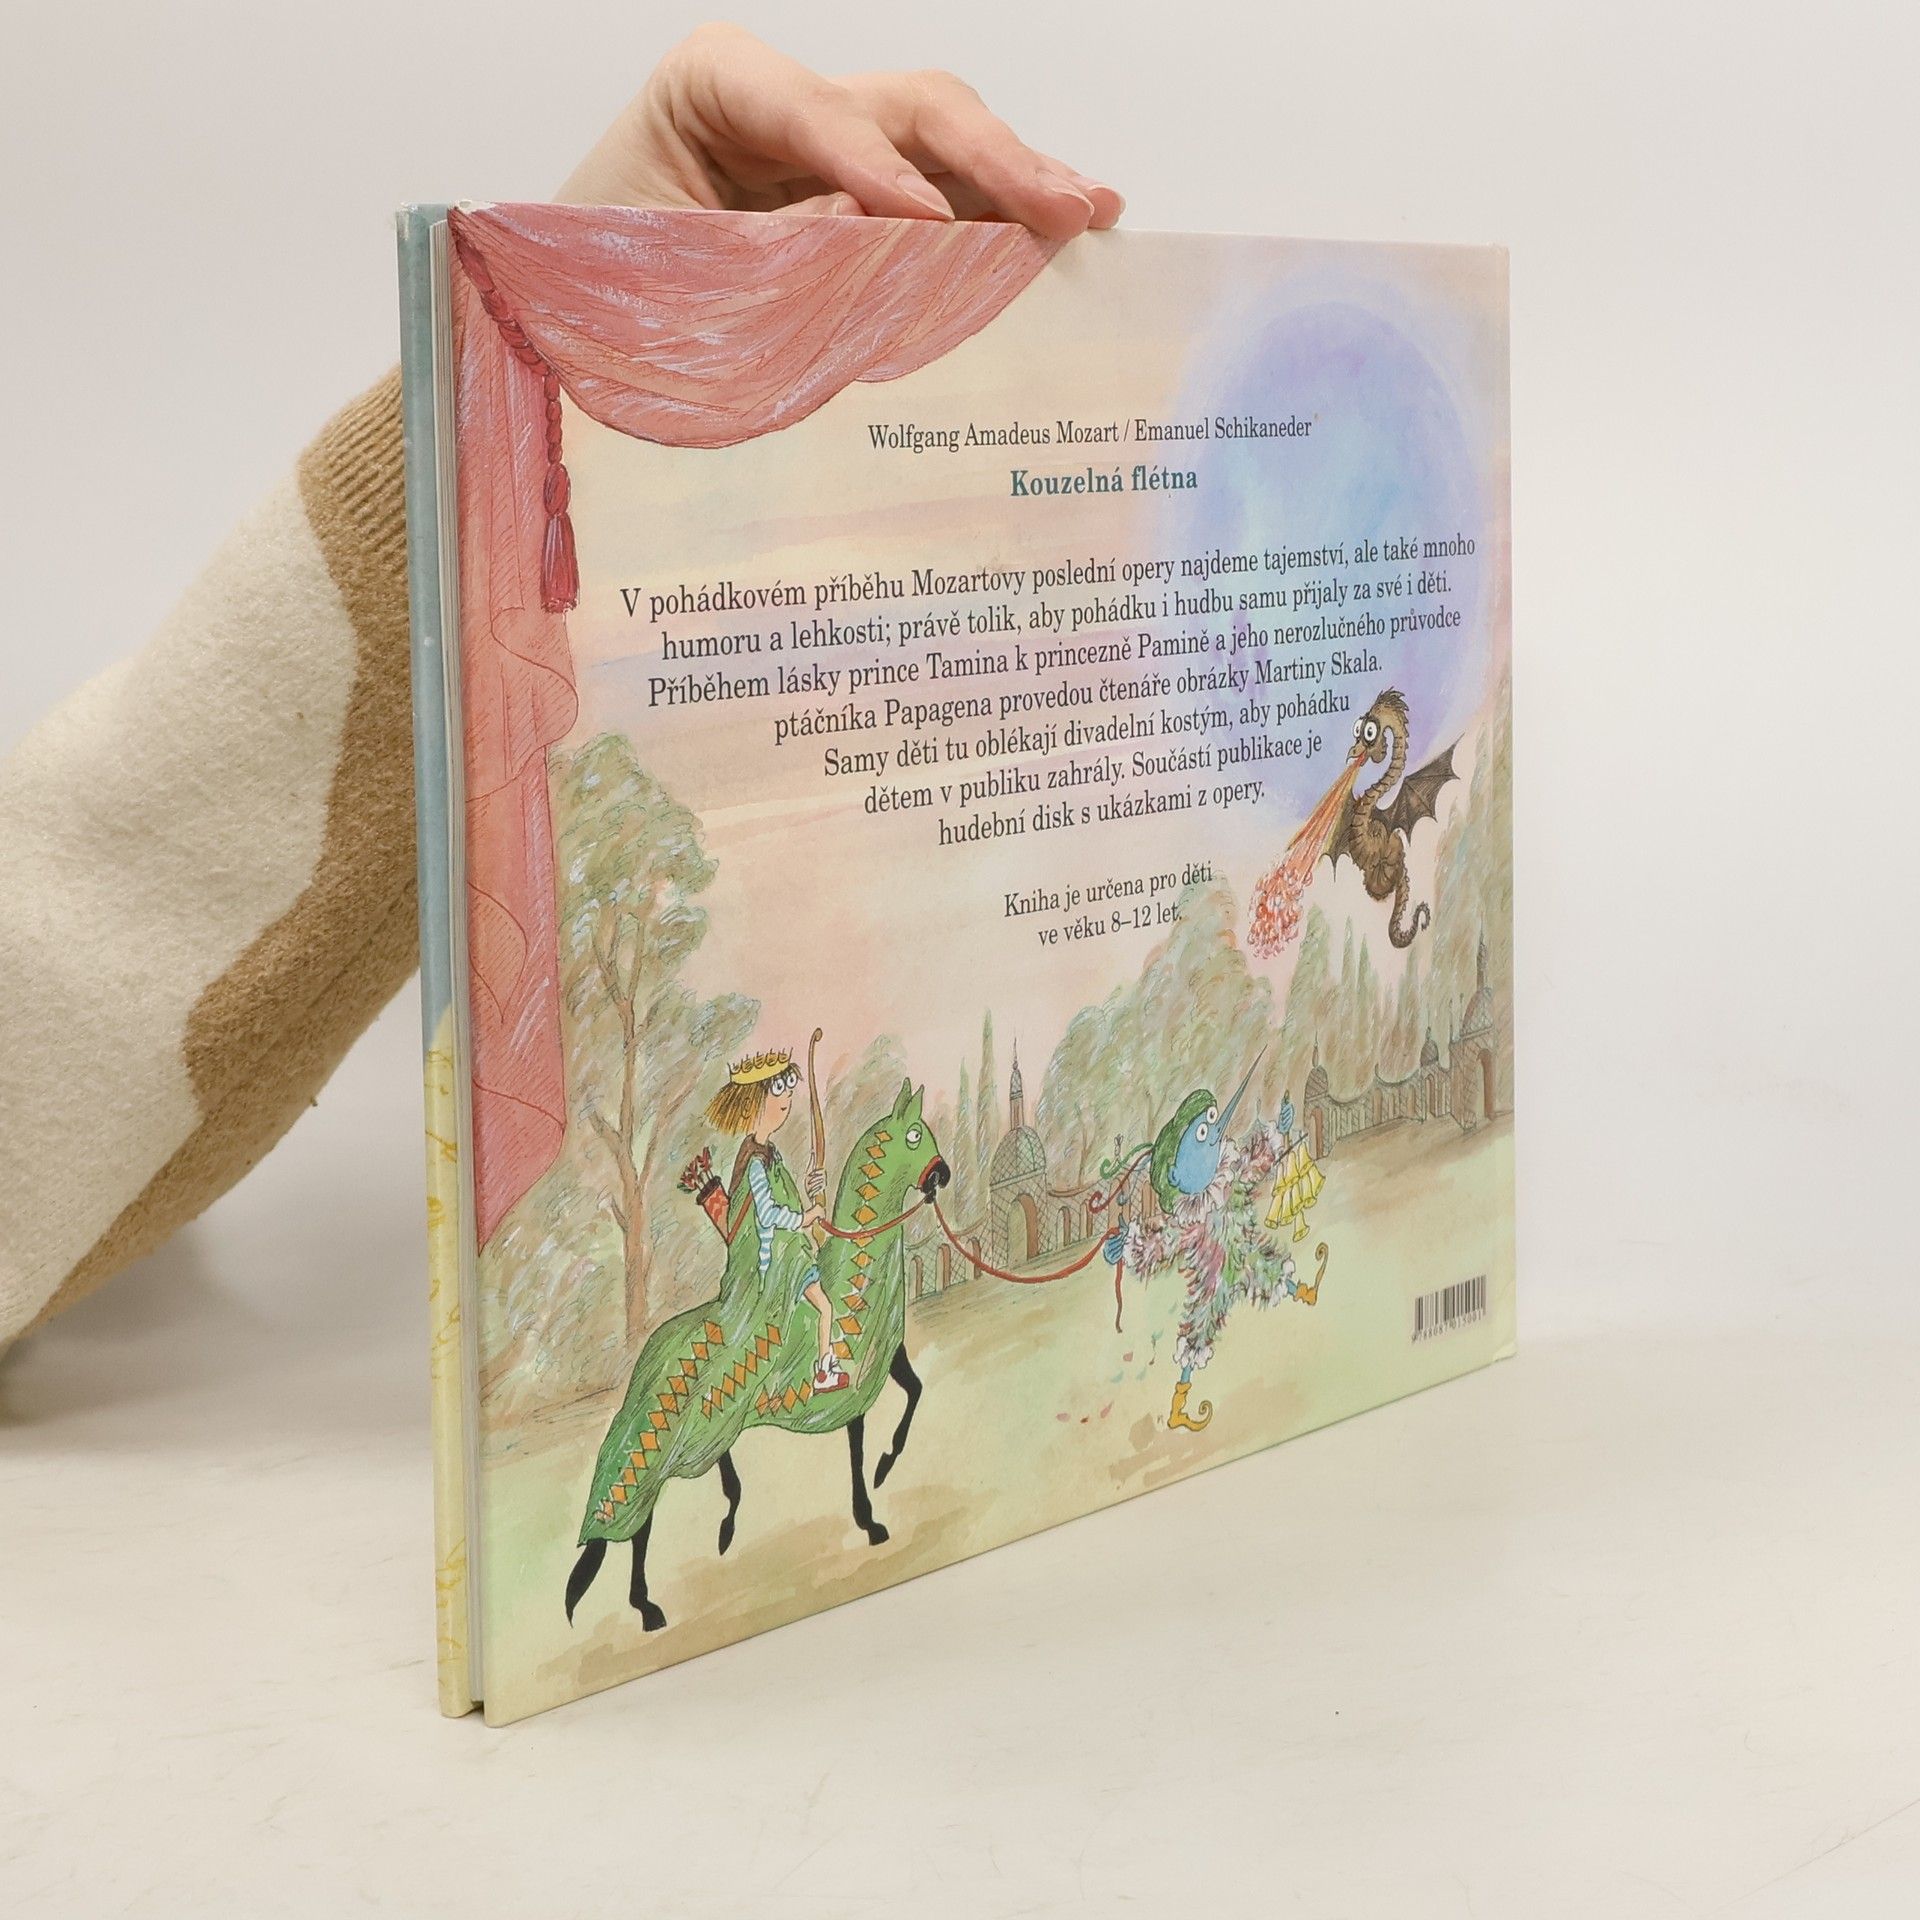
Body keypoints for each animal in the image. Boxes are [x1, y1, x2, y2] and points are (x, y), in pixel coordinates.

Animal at [564, 1078, 949, 1631]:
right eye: (915, 1135)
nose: (942, 1176)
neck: (853, 1280)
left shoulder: (882, 1364)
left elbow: (912, 1394)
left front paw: (884, 1471)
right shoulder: (851, 1391)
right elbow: (860, 1449)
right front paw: (872, 1509)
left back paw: (724, 1529)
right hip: (667, 1443)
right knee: (640, 1517)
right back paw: (647, 1607)